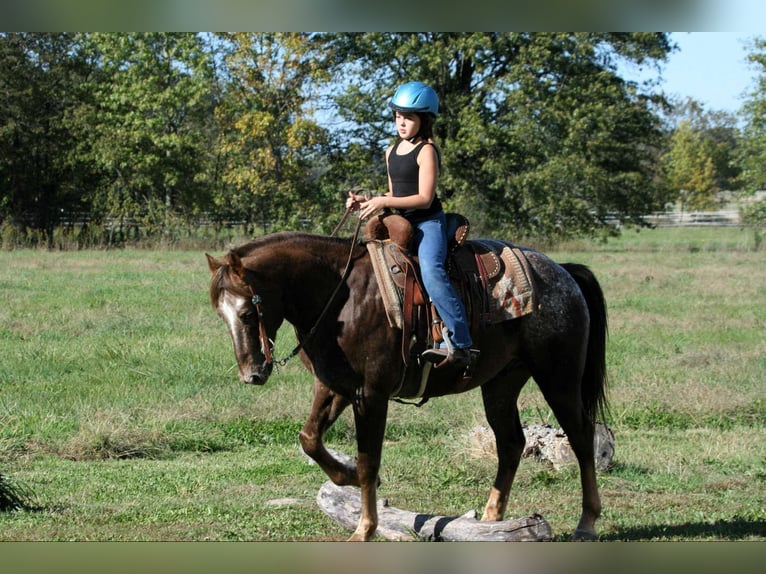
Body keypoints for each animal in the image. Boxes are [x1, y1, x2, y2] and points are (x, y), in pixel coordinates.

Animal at [206, 227, 612, 544]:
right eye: (220, 315)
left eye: (247, 313)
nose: (252, 373)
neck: (340, 297)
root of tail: (563, 273)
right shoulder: (334, 386)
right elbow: (310, 439)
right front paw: (345, 476)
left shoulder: (371, 395)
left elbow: (369, 460)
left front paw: (365, 527)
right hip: (501, 383)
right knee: (511, 442)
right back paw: (492, 519)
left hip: (559, 378)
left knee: (580, 436)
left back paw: (587, 522)